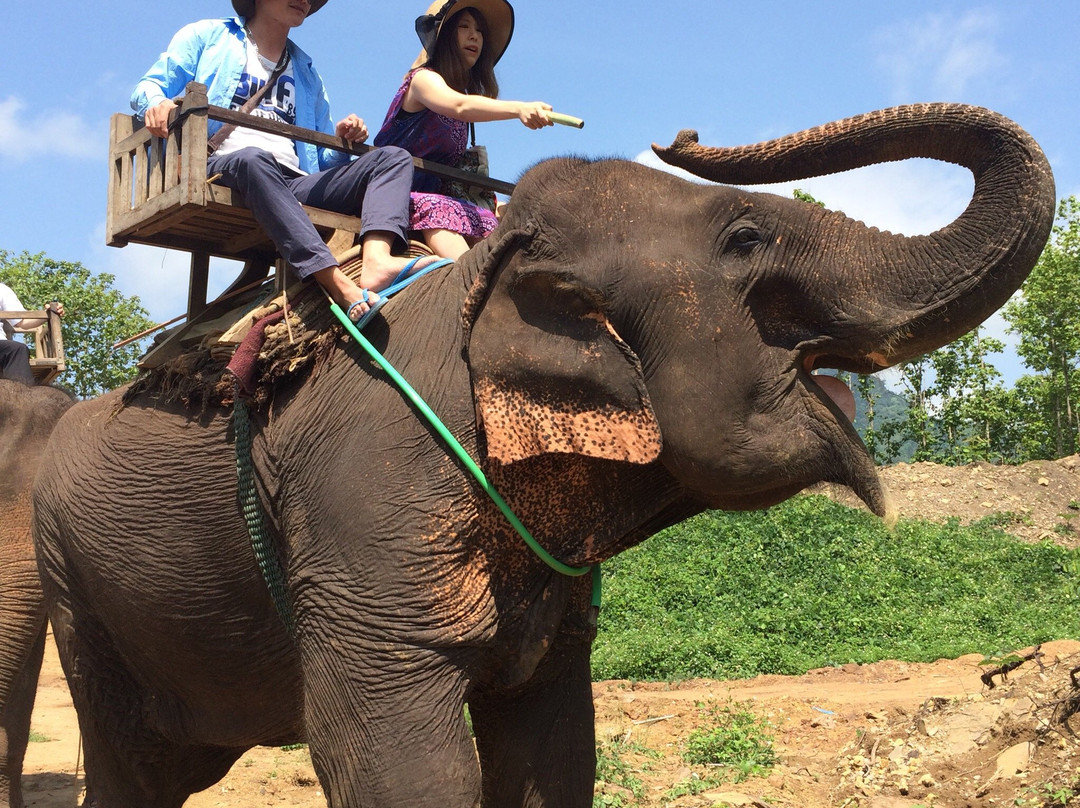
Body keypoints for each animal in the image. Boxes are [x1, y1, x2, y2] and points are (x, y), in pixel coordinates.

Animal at [31, 103, 1053, 808]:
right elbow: (399, 761)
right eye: (745, 237)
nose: (681, 132)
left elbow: (553, 751)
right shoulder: (362, 502)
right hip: (75, 585)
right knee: (135, 771)